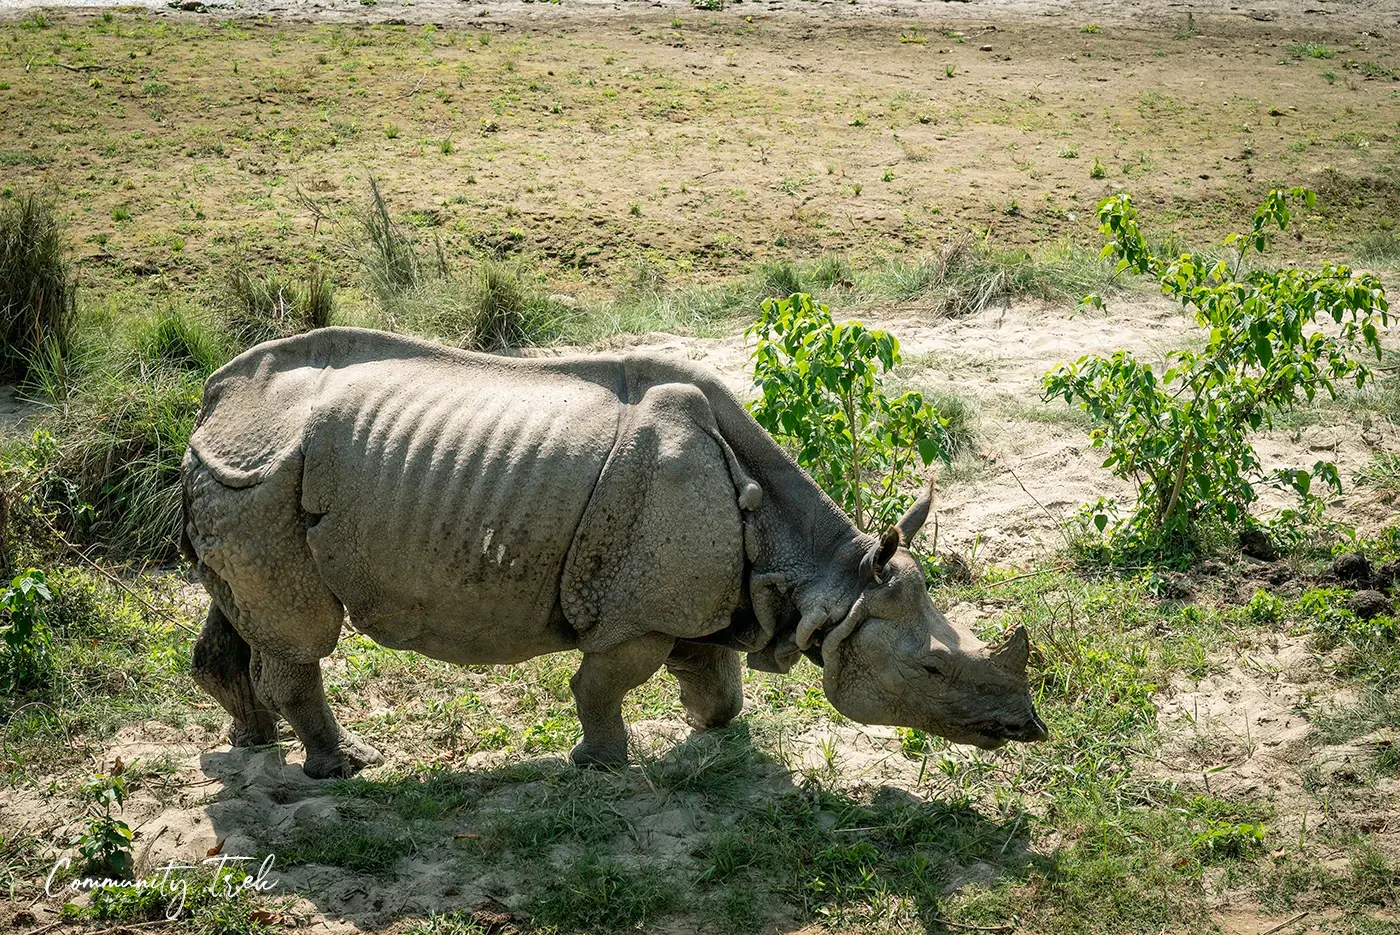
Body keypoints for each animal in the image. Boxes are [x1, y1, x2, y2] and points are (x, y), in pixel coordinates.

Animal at [181, 327, 1048, 779]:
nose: (1027, 729)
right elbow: (599, 684)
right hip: (263, 470)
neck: (827, 576)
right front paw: (602, 765)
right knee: (301, 629)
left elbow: (716, 679)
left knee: (243, 608)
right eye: (931, 668)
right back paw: (345, 768)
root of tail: (212, 400)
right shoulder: (638, 615)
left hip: (243, 476)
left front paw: (710, 732)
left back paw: (252, 742)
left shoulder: (701, 595)